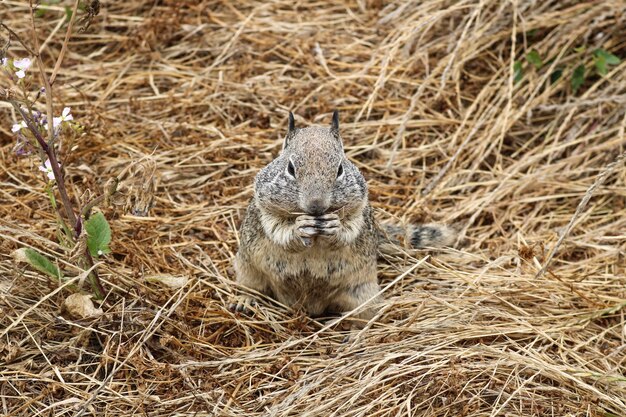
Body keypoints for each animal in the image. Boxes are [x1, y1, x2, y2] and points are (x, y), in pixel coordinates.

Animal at [229, 109, 454, 318]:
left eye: (339, 169)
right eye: (291, 168)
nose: (316, 204)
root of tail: (310, 308)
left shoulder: (358, 211)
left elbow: (348, 231)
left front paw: (334, 227)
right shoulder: (265, 210)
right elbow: (279, 230)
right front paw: (299, 228)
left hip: (361, 292)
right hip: (247, 270)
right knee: (254, 289)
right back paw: (244, 300)